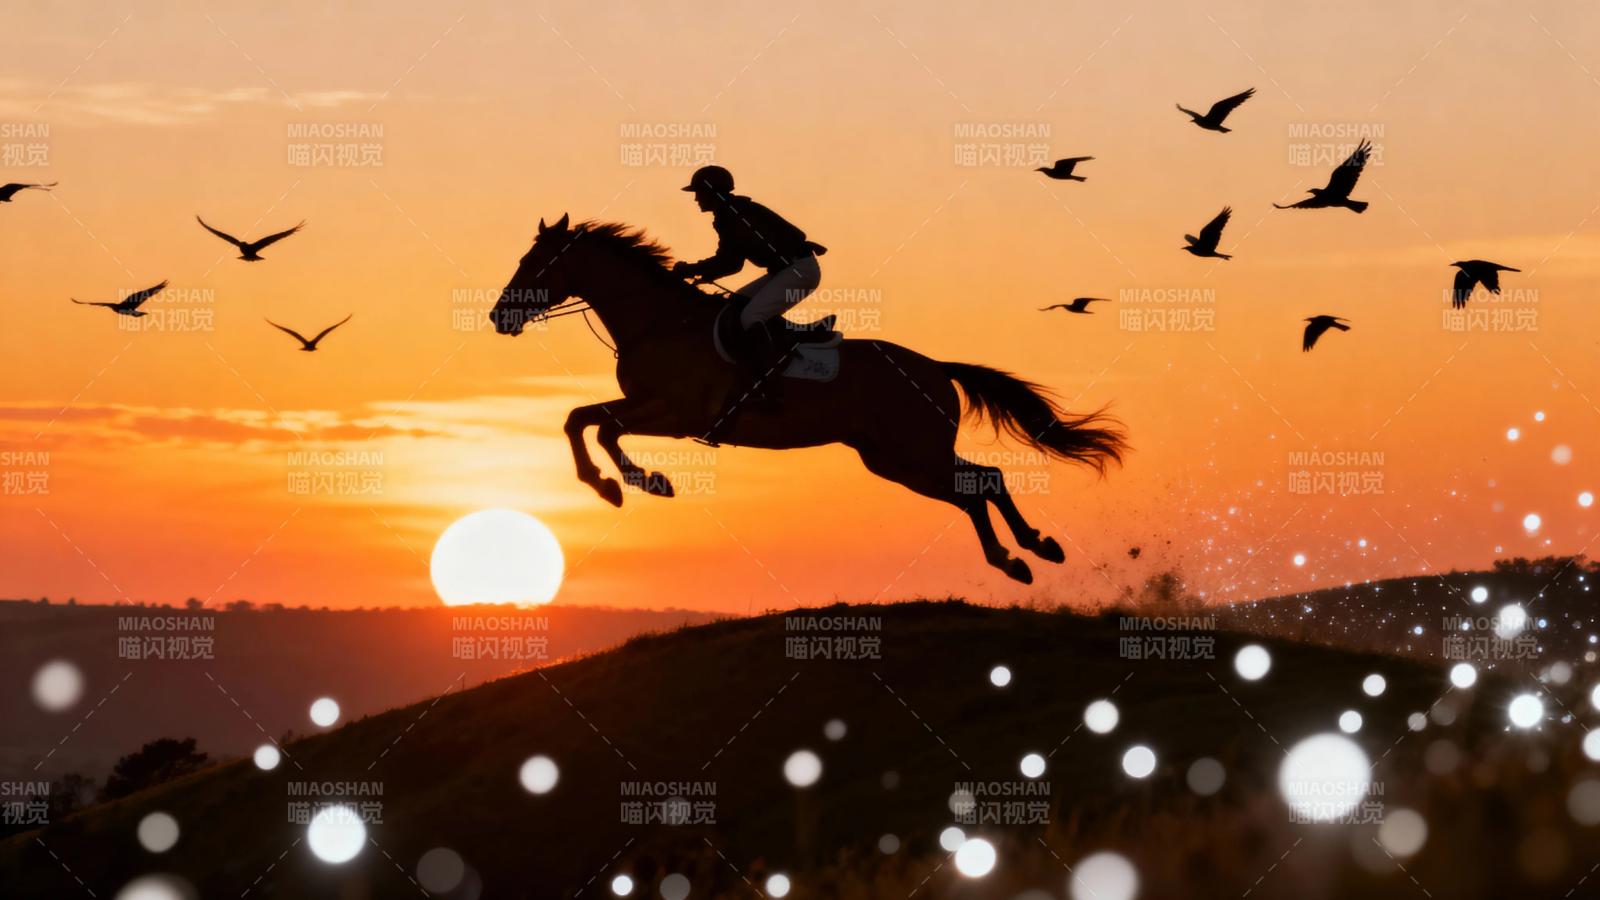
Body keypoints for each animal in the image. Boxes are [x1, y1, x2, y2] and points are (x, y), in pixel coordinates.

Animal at [493, 214, 1128, 584]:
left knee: (981, 484)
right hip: (892, 459)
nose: (500, 317)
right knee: (976, 486)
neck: (660, 322)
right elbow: (580, 419)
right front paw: (614, 485)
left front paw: (637, 483)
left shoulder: (676, 412)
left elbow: (597, 426)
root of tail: (934, 367)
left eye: (535, 262)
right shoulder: (654, 407)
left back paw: (1026, 551)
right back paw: (1022, 555)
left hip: (914, 450)